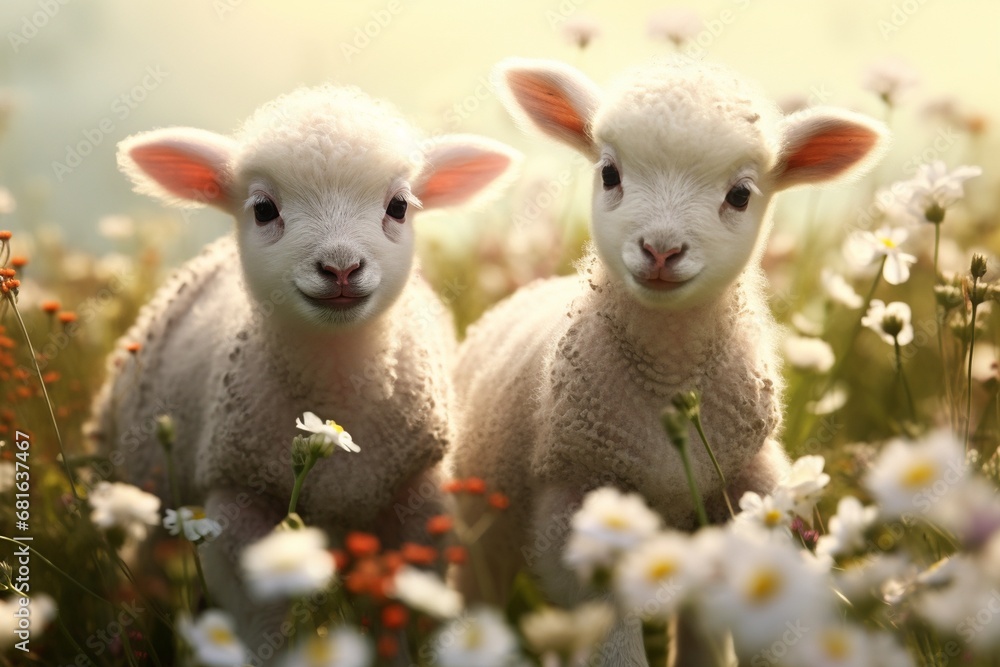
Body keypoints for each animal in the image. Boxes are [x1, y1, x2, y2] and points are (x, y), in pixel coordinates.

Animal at [87, 83, 520, 652]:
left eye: (399, 206)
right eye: (264, 209)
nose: (341, 267)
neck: (336, 383)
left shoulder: (416, 494)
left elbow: (410, 608)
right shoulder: (239, 497)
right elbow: (262, 626)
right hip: (151, 487)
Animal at [450, 58, 888, 667]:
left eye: (741, 194)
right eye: (610, 174)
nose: (660, 250)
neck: (670, 376)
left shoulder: (748, 487)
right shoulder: (576, 500)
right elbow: (614, 640)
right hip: (480, 516)